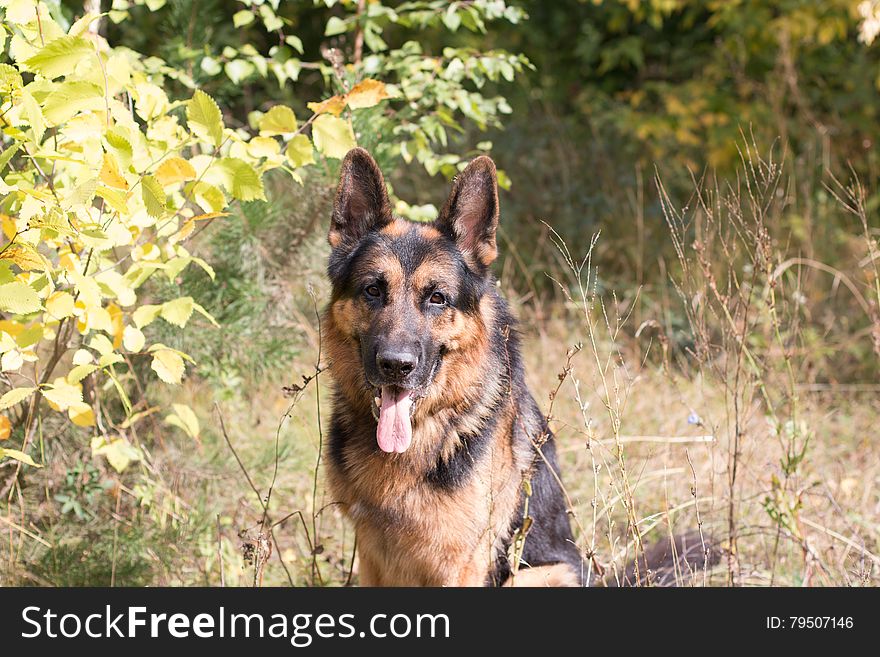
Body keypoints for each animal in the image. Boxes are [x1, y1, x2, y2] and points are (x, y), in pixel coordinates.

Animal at [324, 147, 584, 584]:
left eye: (437, 298)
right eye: (373, 290)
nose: (396, 365)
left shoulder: (459, 563)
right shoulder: (372, 556)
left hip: (541, 573)